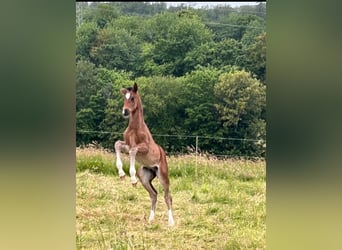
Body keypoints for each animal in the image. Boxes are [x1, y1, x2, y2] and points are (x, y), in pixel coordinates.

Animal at [115, 82, 175, 227]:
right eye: (124, 98)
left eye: (132, 98)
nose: (125, 112)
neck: (135, 128)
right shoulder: (127, 145)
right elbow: (117, 144)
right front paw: (121, 174)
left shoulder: (143, 148)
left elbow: (133, 151)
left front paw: (131, 178)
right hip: (144, 176)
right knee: (154, 194)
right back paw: (150, 219)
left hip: (163, 175)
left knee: (167, 196)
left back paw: (171, 222)